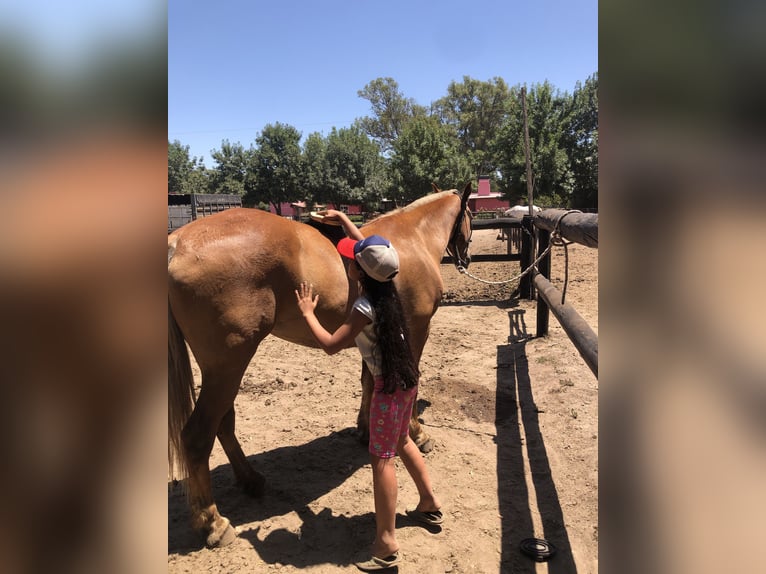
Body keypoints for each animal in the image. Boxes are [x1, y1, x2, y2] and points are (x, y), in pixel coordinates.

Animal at [168, 183, 473, 547]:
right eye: (470, 217)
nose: (466, 257)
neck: (411, 238)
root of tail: (177, 244)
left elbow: (369, 381)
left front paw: (365, 430)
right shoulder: (415, 330)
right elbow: (409, 380)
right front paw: (417, 433)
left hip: (221, 369)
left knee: (223, 423)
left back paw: (250, 480)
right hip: (228, 365)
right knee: (198, 436)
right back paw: (213, 523)